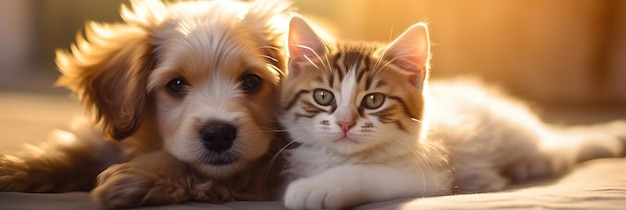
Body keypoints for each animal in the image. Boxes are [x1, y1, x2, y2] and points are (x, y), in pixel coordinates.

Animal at [0, 0, 288, 208]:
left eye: (251, 81)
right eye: (176, 84)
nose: (218, 134)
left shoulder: (263, 171)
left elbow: (194, 167)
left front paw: (136, 176)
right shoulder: (102, 140)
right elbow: (69, 152)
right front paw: (12, 167)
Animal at [278, 15, 624, 209]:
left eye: (374, 100)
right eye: (324, 96)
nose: (345, 123)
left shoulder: (429, 173)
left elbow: (360, 173)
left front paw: (314, 189)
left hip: (526, 138)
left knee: (563, 142)